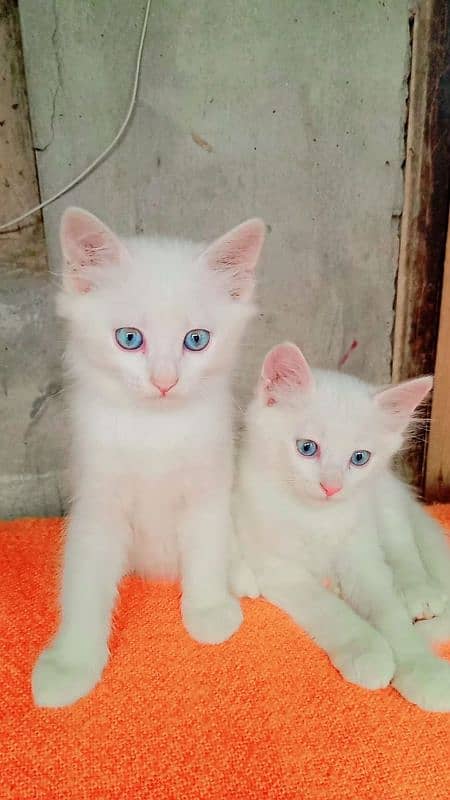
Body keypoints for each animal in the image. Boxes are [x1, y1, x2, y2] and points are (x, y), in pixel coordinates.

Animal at [236, 340, 450, 708]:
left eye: (359, 458)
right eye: (307, 448)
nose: (331, 487)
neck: (316, 517)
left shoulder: (363, 557)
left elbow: (390, 613)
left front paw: (424, 670)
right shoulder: (279, 569)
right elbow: (331, 611)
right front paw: (368, 653)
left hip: (383, 498)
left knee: (403, 543)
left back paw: (417, 592)